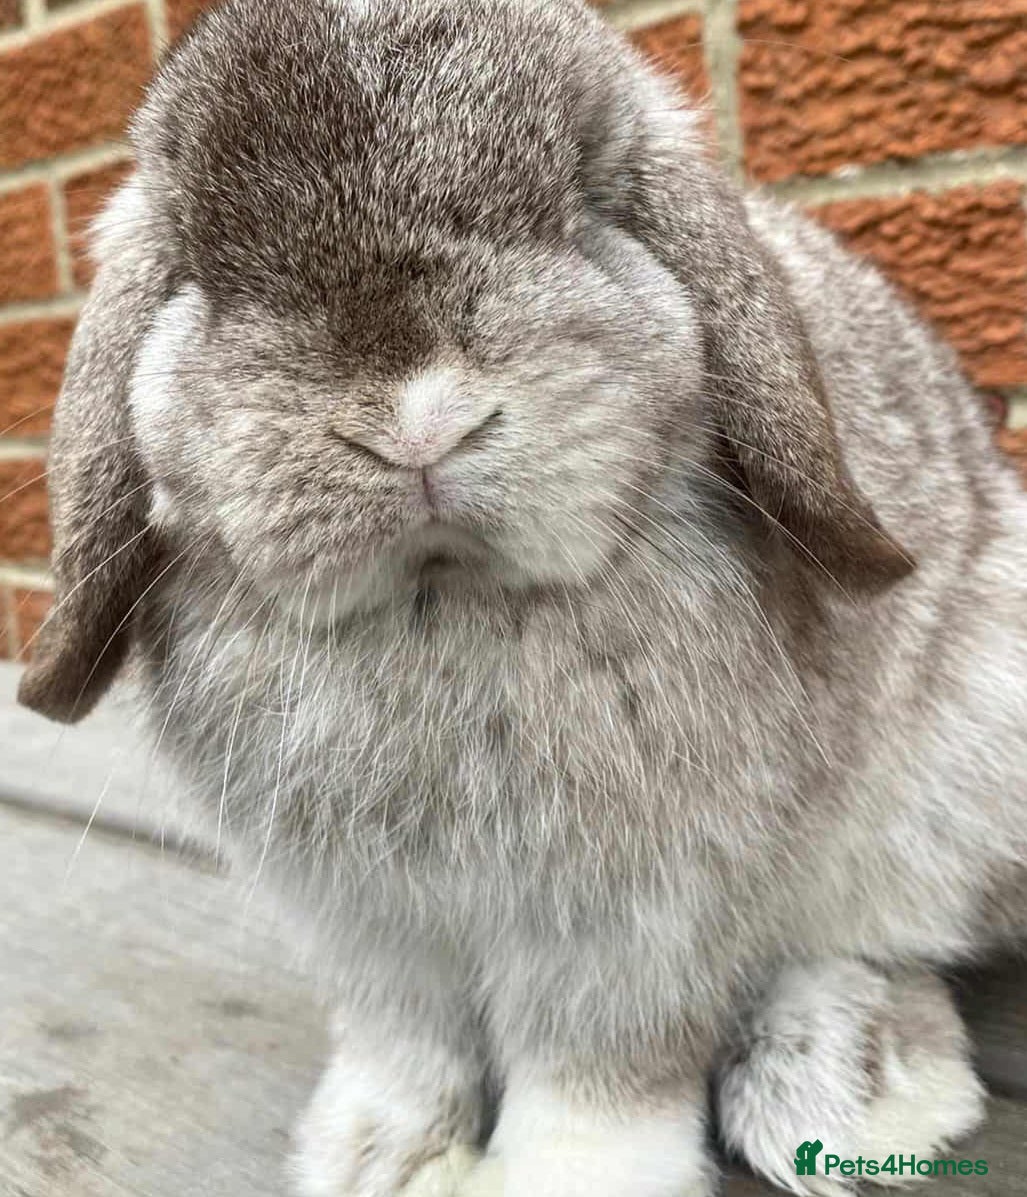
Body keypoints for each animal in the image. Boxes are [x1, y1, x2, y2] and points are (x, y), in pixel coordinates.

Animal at [19, 0, 1027, 1193]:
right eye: (202, 272)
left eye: (590, 202)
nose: (417, 425)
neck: (441, 602)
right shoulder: (364, 925)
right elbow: (403, 1045)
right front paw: (381, 1158)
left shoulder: (629, 921)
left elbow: (594, 1072)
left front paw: (561, 1176)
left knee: (879, 946)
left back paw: (848, 1090)